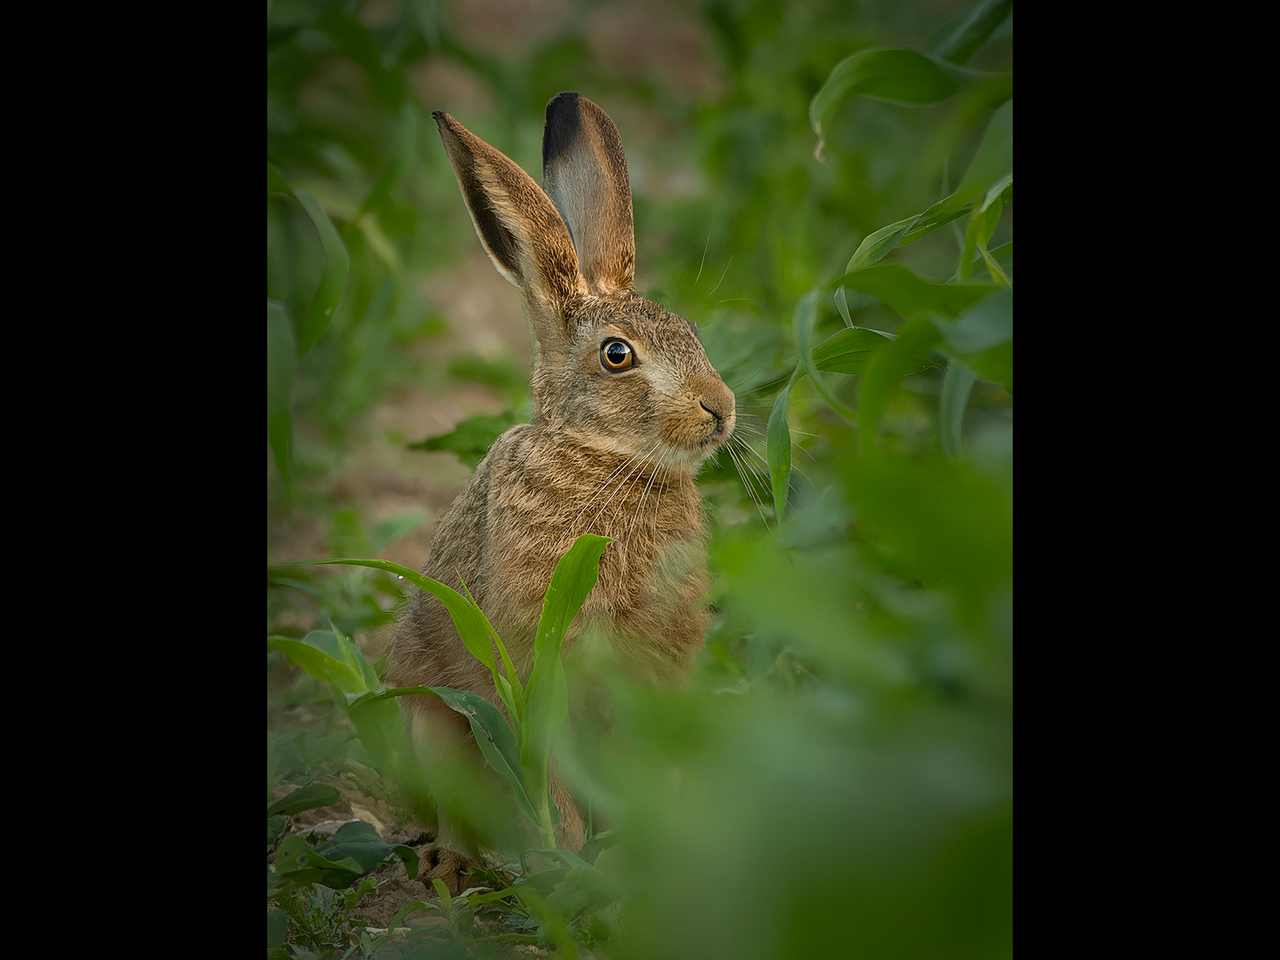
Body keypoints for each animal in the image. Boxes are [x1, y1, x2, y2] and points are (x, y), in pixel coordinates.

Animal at [387, 92, 735, 868]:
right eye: (617, 355)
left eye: (692, 333)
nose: (721, 410)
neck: (604, 459)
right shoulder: (533, 664)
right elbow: (549, 774)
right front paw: (568, 855)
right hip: (432, 727)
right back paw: (453, 864)